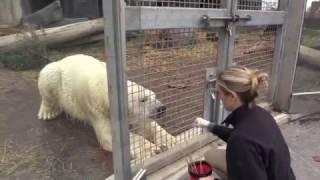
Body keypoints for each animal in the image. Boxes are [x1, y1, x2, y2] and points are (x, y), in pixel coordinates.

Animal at [38, 54, 176, 158]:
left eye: (155, 96)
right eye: (143, 99)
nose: (161, 108)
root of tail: (64, 59)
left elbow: (148, 125)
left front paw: (171, 141)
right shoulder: (98, 109)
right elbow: (111, 136)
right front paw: (153, 150)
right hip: (55, 74)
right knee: (48, 78)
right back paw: (47, 112)